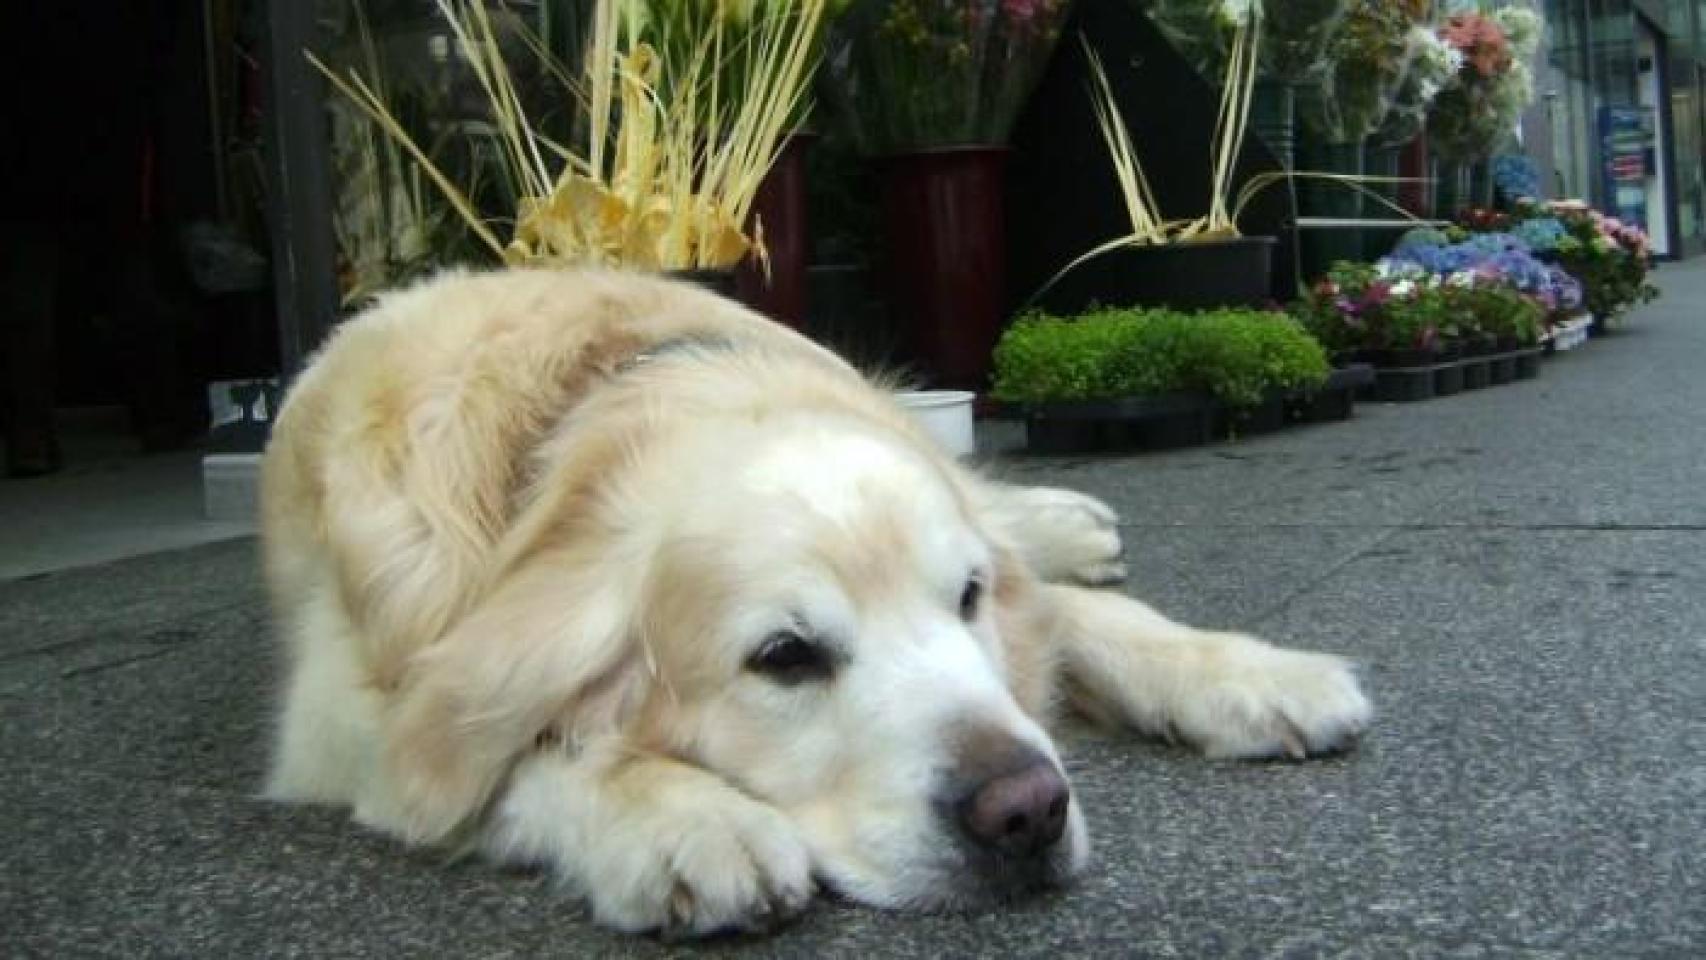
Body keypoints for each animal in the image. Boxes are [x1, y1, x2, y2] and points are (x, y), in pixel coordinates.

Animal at [259, 269, 1364, 941]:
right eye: (784, 656)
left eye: (964, 598)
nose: (1027, 811)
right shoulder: (341, 718)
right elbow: (512, 748)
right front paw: (681, 817)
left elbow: (1076, 621)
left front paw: (1253, 672)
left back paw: (1073, 525)